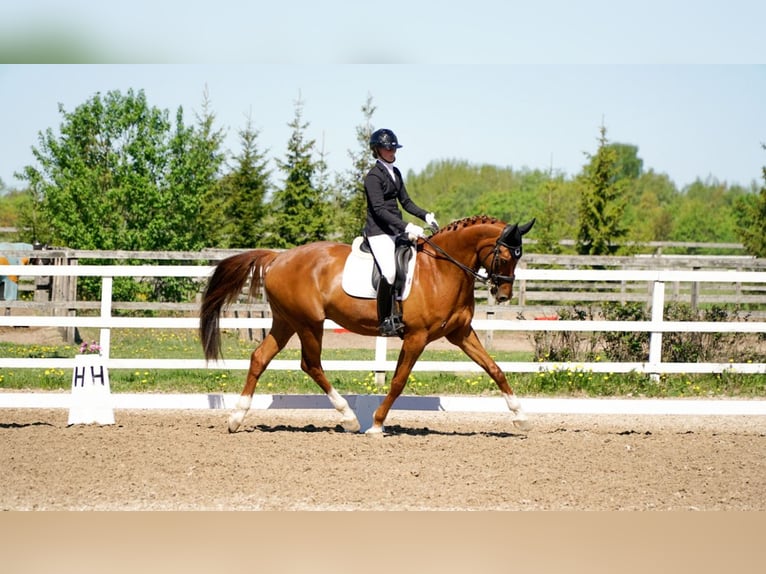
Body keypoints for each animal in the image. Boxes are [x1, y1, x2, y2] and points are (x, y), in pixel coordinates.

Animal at [204, 216, 540, 436]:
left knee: (260, 357)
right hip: (309, 323)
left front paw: (521, 416)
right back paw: (350, 418)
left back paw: (236, 418)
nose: (504, 295)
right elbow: (399, 381)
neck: (442, 269)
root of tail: (278, 257)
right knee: (310, 364)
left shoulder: (460, 333)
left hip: (286, 321)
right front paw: (377, 424)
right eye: (505, 255)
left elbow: (494, 369)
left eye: (519, 256)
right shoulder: (417, 337)